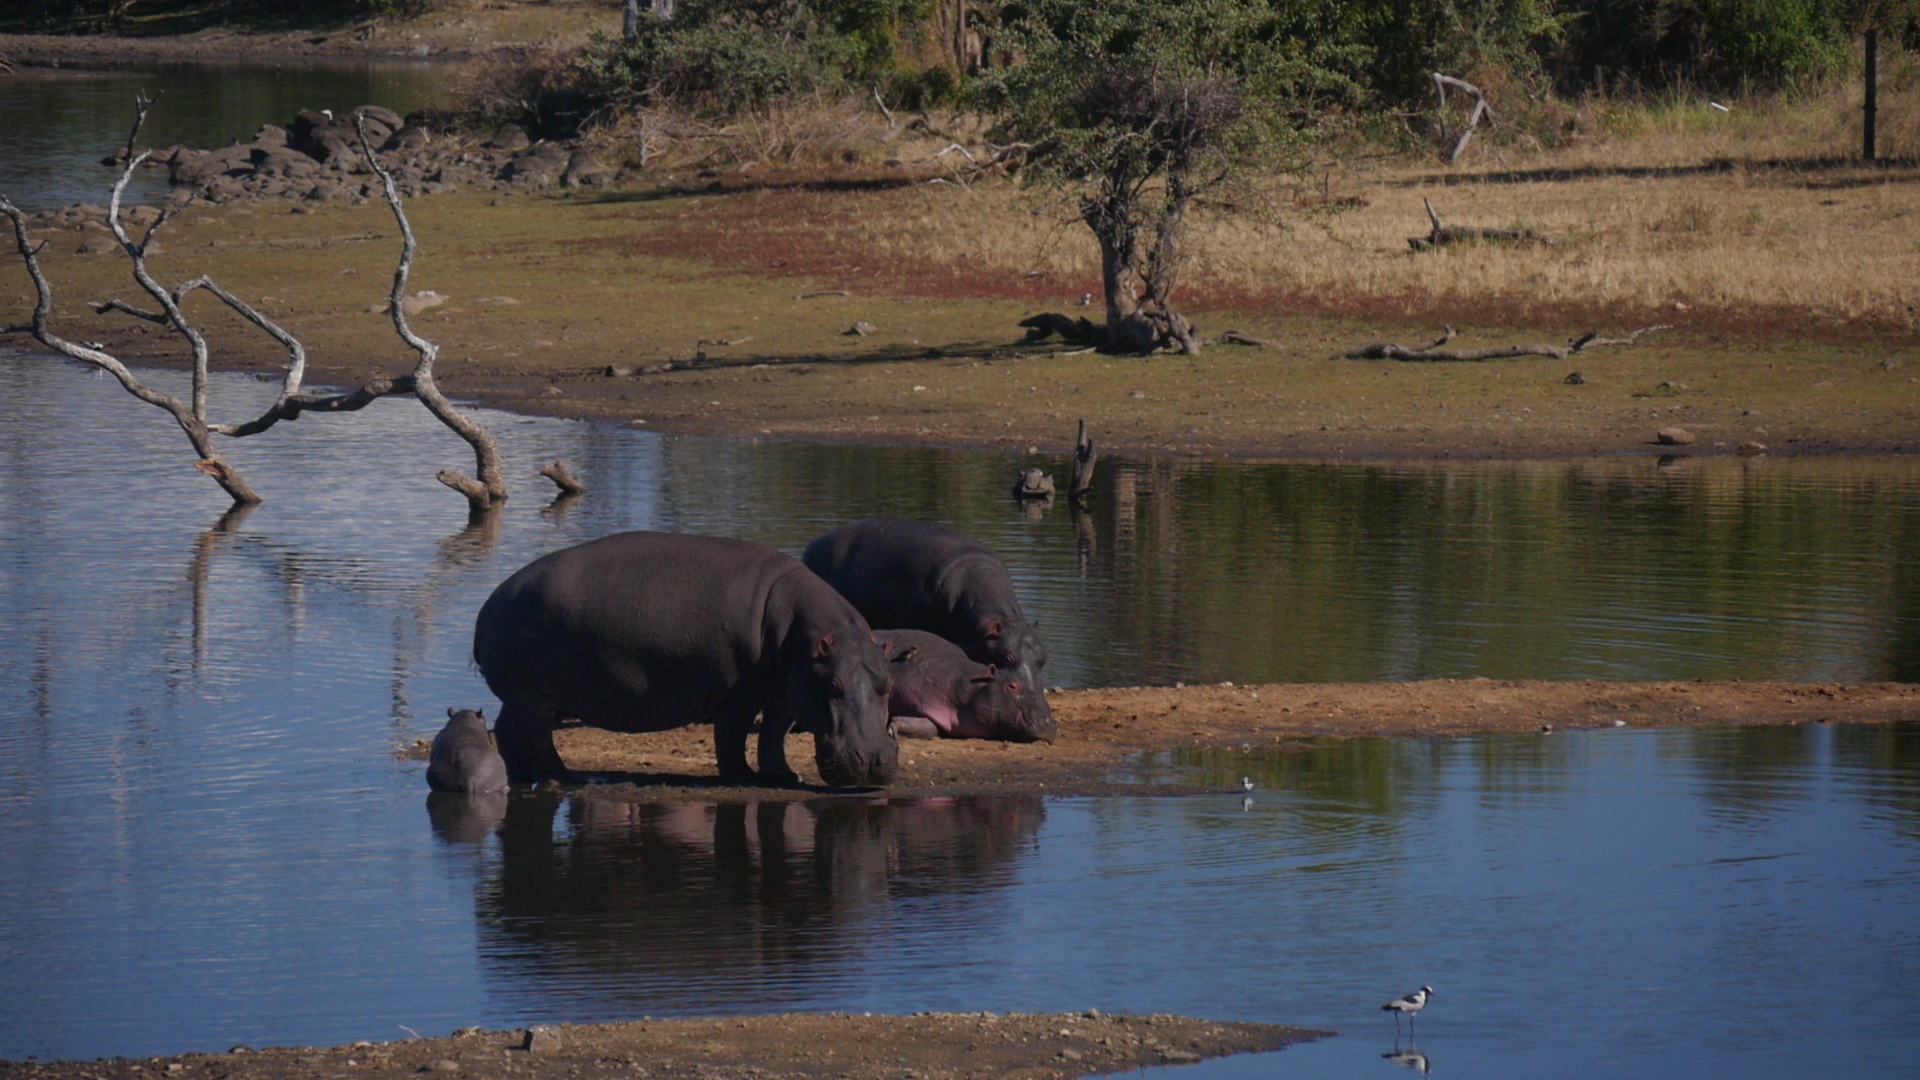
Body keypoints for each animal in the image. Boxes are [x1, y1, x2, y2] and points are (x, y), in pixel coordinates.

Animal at [476, 526, 902, 787]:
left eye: (888, 684)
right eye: (834, 684)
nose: (872, 760)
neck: (805, 635)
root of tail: (493, 600)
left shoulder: (786, 694)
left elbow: (773, 735)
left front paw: (784, 776)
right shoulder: (740, 696)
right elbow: (732, 736)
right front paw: (742, 777)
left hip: (519, 697)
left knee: (507, 727)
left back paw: (519, 777)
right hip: (536, 698)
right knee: (536, 737)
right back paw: (566, 780)